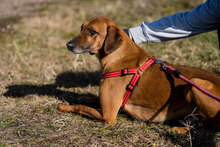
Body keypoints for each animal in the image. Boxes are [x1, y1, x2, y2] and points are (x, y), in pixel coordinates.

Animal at [58, 16, 220, 131]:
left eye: (92, 32)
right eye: (81, 28)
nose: (68, 45)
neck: (118, 55)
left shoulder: (108, 115)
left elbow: (80, 107)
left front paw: (63, 106)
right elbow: (91, 99)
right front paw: (83, 97)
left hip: (197, 84)